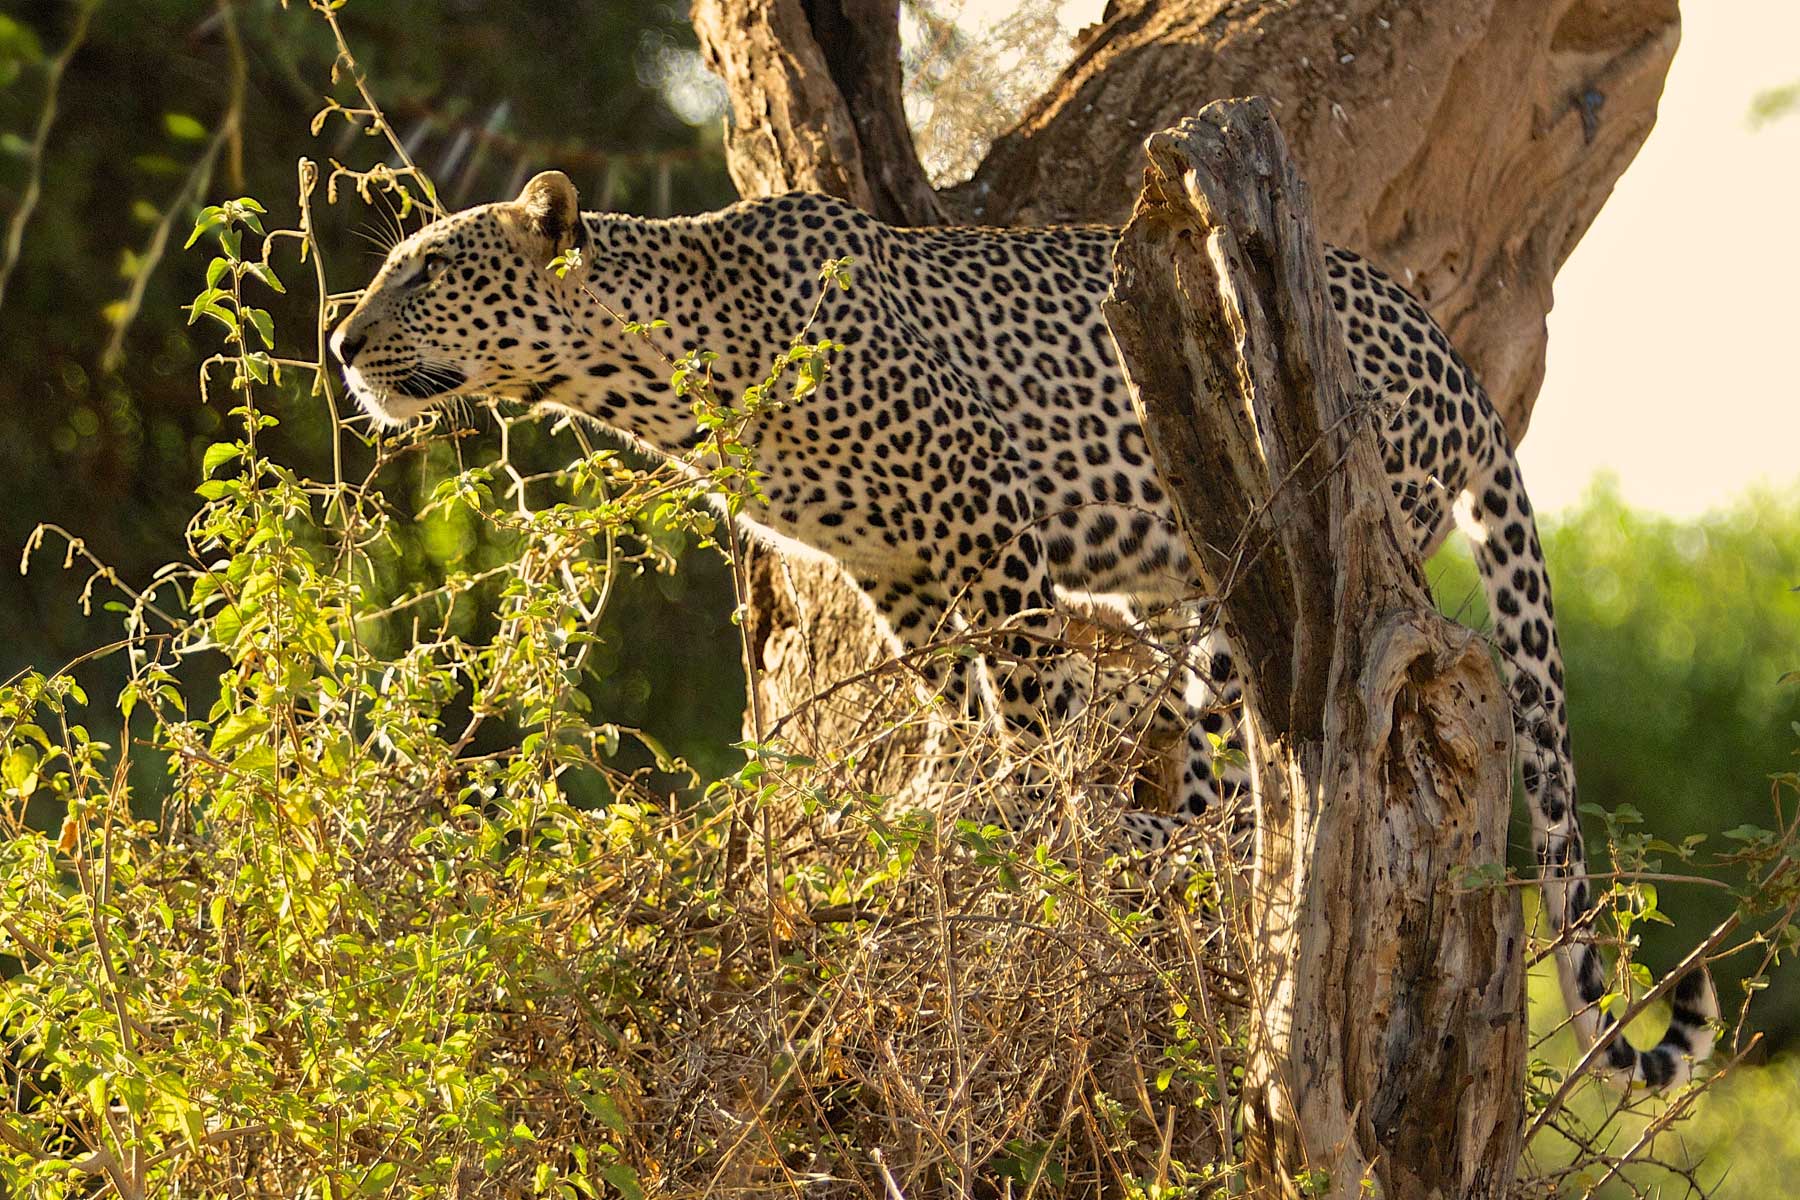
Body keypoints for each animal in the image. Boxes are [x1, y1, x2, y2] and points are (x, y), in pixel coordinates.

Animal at [331, 169, 1715, 1087]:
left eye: (431, 271)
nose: (341, 341)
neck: (664, 368)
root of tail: (1453, 352)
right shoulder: (893, 568)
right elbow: (958, 710)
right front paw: (942, 810)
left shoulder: (986, 520)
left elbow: (1036, 719)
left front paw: (1038, 851)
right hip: (1182, 576)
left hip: (1269, 544)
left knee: (1260, 748)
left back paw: (1174, 839)